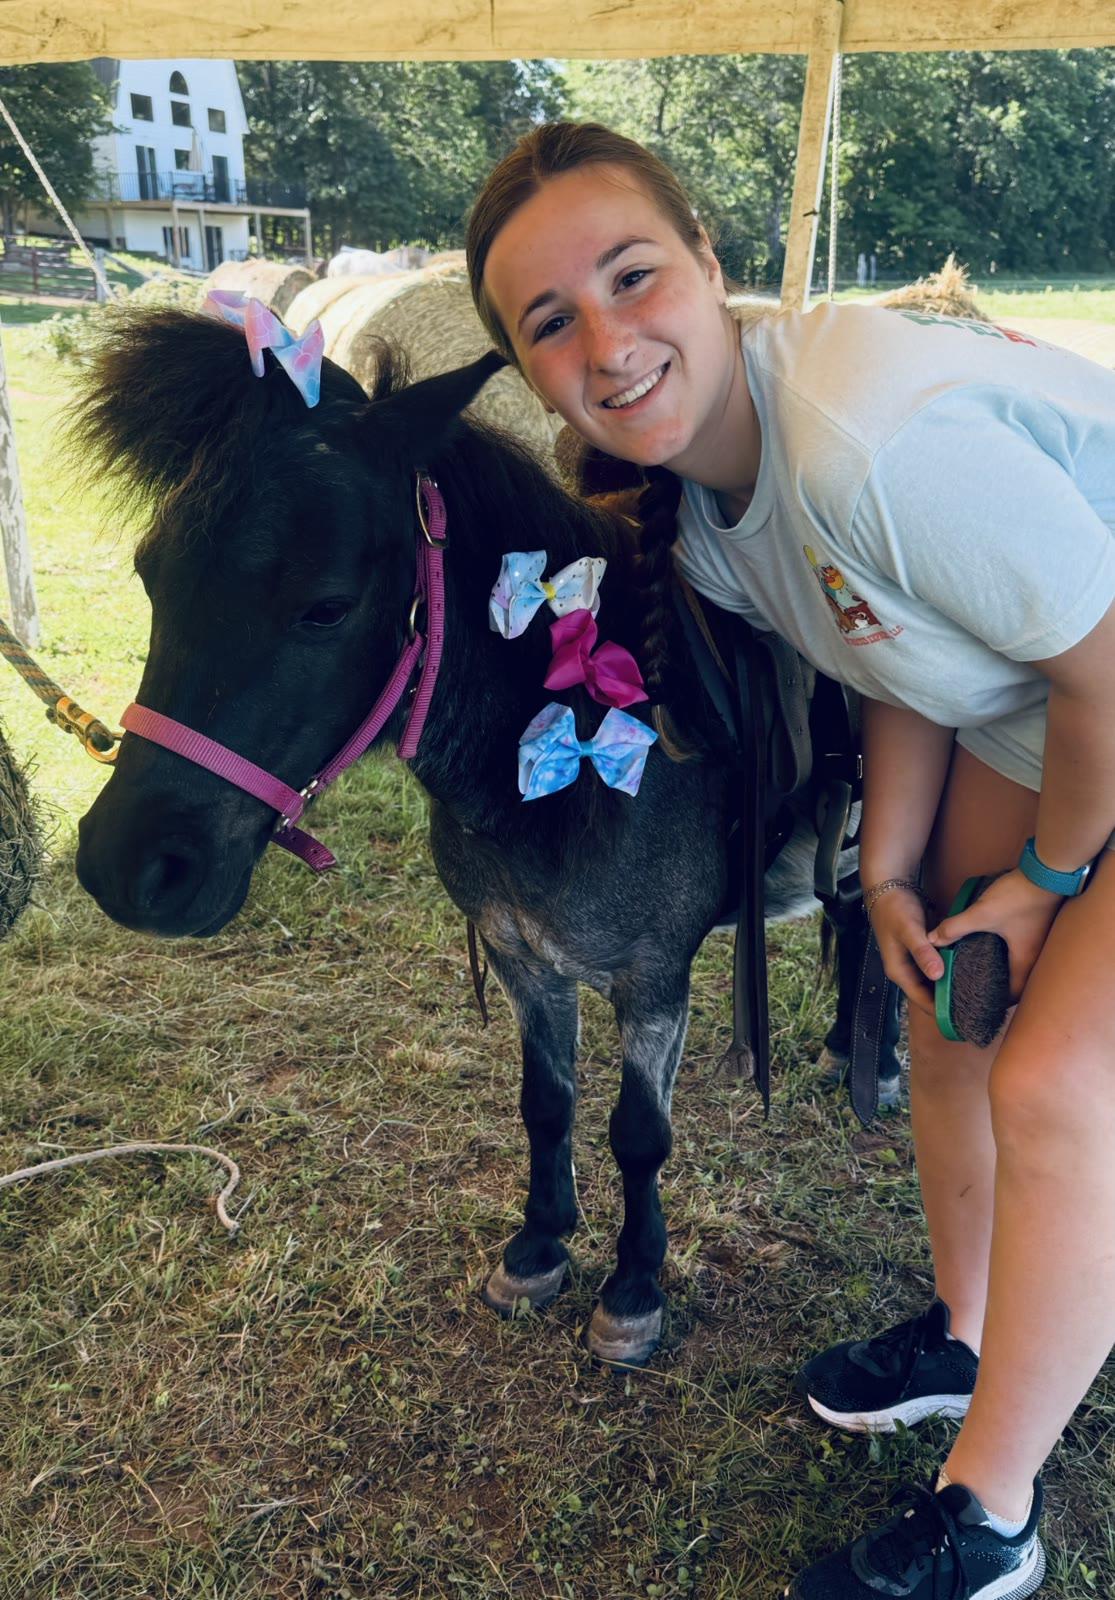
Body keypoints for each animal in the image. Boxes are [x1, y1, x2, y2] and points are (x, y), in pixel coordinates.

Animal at [72, 309, 891, 1365]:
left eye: (326, 607)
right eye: (149, 574)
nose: (131, 869)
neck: (566, 757)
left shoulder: (652, 978)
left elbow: (638, 1133)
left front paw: (633, 1287)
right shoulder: (521, 956)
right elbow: (546, 1105)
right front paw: (539, 1248)